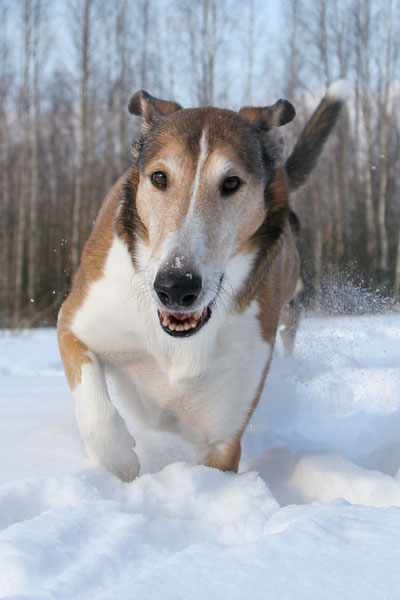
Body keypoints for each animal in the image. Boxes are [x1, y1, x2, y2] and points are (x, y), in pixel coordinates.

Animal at [58, 81, 349, 481]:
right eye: (159, 177)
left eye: (231, 182)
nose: (176, 287)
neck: (173, 342)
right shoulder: (76, 321)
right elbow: (96, 413)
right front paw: (122, 462)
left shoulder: (222, 441)